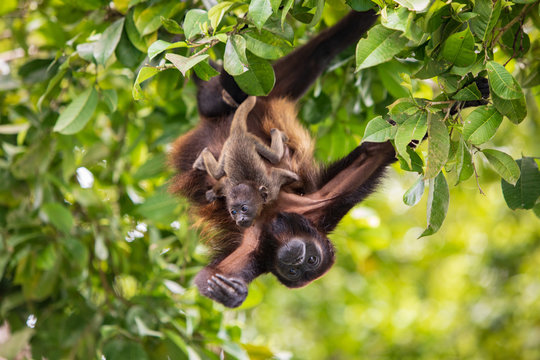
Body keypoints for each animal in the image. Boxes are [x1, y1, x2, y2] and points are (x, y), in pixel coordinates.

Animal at [191, 96, 300, 228]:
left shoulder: (272, 189)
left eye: (244, 208)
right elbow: (223, 180)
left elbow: (291, 176)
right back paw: (204, 154)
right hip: (229, 146)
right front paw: (212, 193)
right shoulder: (229, 189)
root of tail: (238, 133)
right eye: (233, 212)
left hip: (250, 140)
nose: (240, 219)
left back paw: (276, 132)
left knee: (275, 157)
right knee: (217, 173)